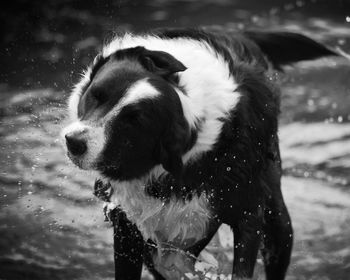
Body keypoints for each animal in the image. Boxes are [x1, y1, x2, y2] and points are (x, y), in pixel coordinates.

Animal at [62, 28, 336, 280]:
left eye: (134, 122)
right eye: (96, 95)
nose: (74, 143)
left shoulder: (248, 214)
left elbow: (241, 268)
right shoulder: (127, 222)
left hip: (278, 223)